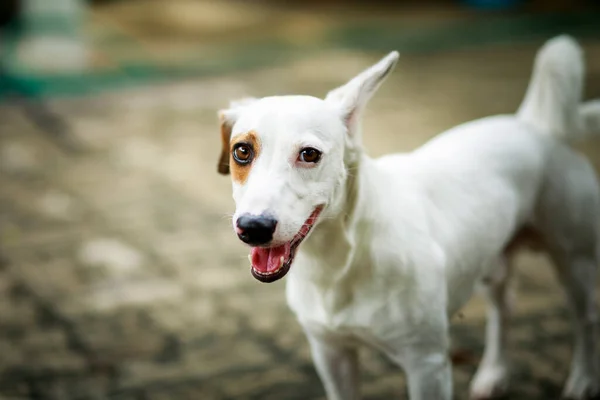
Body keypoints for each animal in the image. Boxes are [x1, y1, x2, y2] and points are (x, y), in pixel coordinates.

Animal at [216, 36, 600, 398]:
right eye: (241, 151)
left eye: (309, 154)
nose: (253, 227)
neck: (341, 261)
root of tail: (534, 124)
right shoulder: (331, 354)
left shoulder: (427, 364)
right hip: (491, 256)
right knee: (504, 308)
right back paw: (493, 375)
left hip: (575, 260)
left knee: (585, 318)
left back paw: (583, 379)